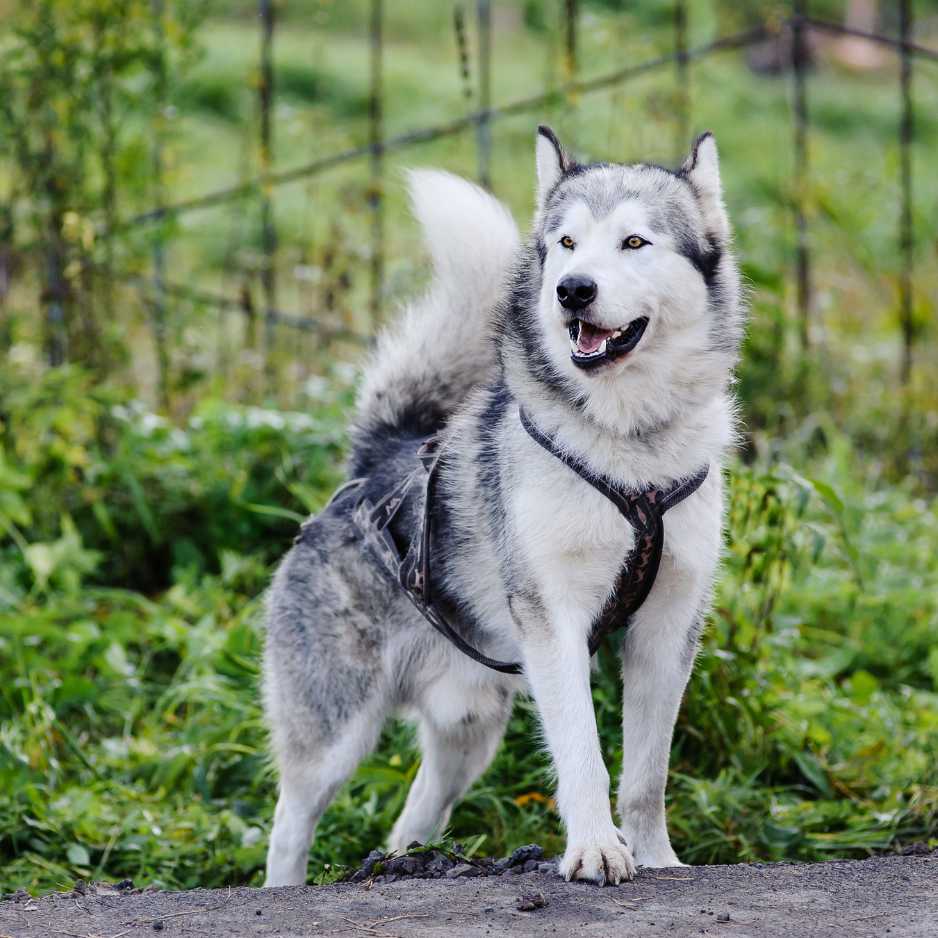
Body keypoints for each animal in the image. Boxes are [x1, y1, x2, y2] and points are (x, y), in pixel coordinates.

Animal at [260, 126, 744, 884]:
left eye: (635, 242)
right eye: (567, 243)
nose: (573, 290)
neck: (628, 451)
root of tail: (377, 460)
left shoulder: (668, 630)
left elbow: (647, 775)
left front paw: (657, 858)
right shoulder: (555, 623)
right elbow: (584, 756)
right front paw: (595, 849)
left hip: (467, 729)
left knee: (412, 816)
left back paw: (408, 862)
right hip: (334, 727)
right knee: (289, 823)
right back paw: (286, 886)